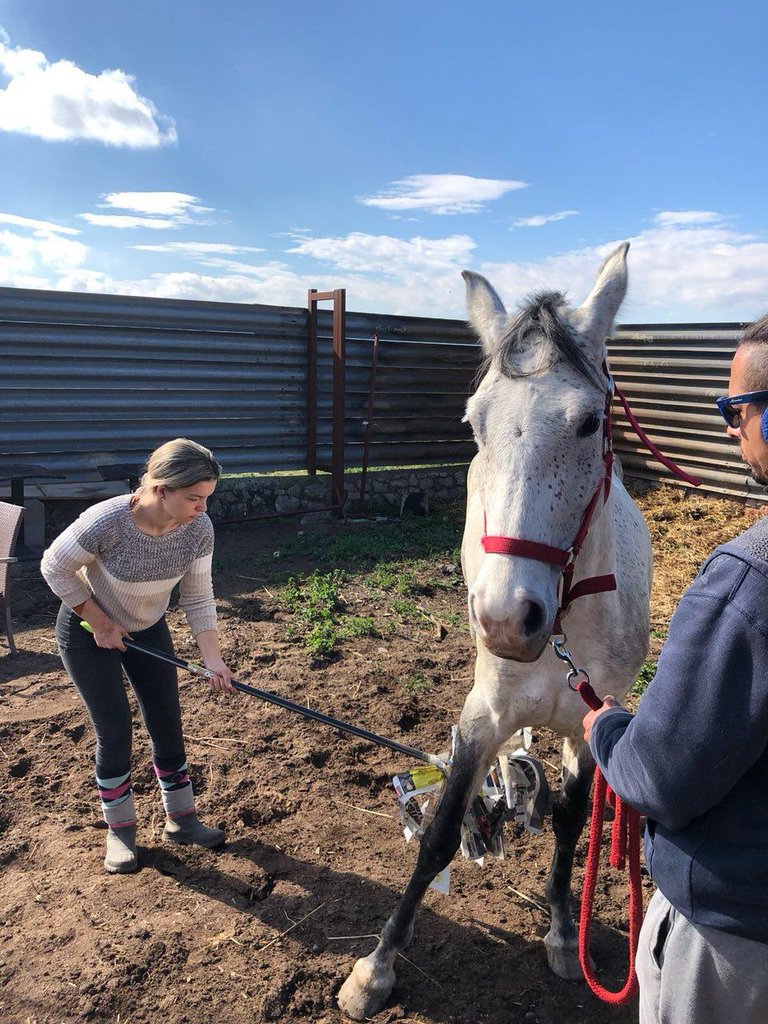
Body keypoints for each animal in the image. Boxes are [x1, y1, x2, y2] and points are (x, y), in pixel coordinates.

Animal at [339, 239, 651, 1015]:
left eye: (590, 423)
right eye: (474, 423)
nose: (508, 618)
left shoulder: (592, 722)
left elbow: (572, 821)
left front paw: (563, 933)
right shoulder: (482, 715)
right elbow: (439, 835)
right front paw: (375, 969)